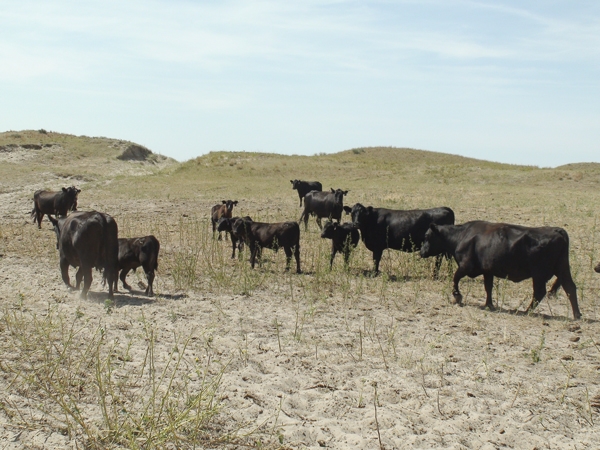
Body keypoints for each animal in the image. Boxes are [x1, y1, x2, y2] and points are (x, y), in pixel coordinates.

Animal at [418, 221, 580, 320]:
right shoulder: (487, 271)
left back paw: (525, 311)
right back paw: (577, 314)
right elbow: (488, 287)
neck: (461, 236)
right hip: (562, 269)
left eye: (427, 236)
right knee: (570, 288)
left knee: (540, 293)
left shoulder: (465, 266)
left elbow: (455, 278)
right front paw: (489, 304)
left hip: (539, 274)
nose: (421, 252)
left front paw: (457, 296)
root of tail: (556, 230)